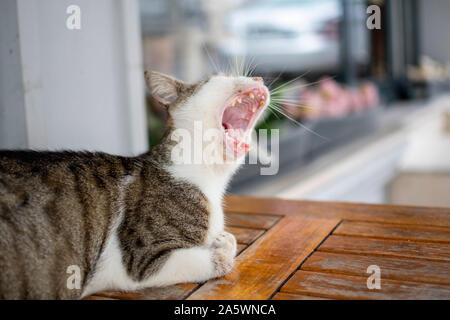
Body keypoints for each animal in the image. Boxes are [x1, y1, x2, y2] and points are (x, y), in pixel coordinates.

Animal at [0, 71, 268, 298]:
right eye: (221, 76)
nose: (259, 78)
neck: (211, 179)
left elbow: (229, 239)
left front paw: (222, 239)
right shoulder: (142, 261)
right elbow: (220, 258)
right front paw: (221, 247)